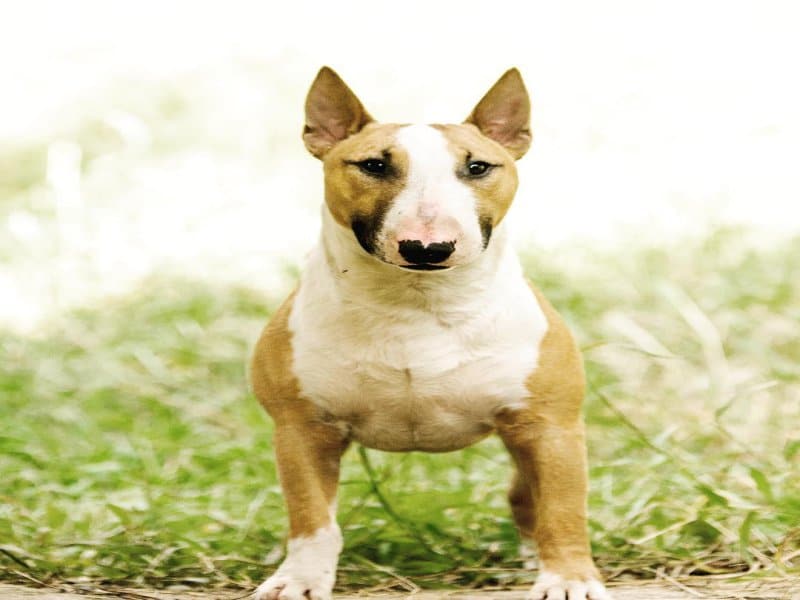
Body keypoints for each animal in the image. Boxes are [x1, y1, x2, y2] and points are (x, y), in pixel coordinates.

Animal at [252, 67, 612, 600]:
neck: (416, 303)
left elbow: (562, 509)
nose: (428, 247)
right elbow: (312, 516)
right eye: (374, 165)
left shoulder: (551, 426)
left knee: (526, 498)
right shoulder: (301, 427)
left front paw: (569, 579)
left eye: (479, 167)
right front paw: (299, 579)